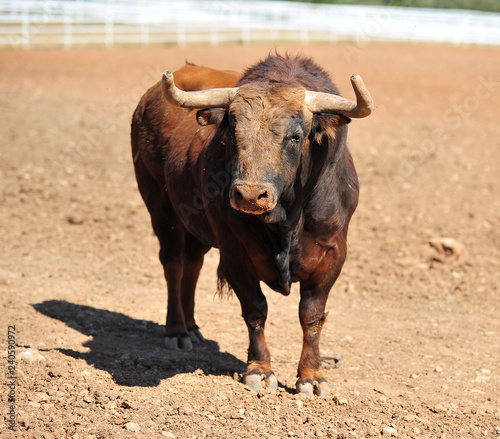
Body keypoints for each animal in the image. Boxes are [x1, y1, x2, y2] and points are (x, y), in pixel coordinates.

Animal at [131, 53, 374, 398]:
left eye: (295, 136)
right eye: (232, 133)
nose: (249, 195)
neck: (287, 220)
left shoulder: (333, 255)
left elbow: (312, 315)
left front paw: (312, 377)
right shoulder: (235, 254)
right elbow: (256, 309)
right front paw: (260, 370)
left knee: (192, 264)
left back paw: (192, 327)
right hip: (161, 208)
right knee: (174, 263)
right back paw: (177, 330)